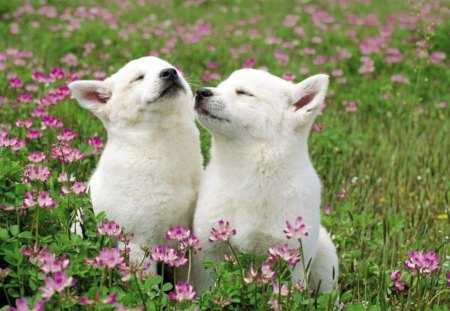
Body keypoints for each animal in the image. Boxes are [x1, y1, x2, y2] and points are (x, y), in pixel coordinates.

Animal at [191, 69, 338, 294]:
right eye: (221, 85)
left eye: (244, 93)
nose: (201, 92)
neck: (248, 170)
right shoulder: (209, 249)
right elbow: (208, 287)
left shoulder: (291, 256)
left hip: (326, 257)